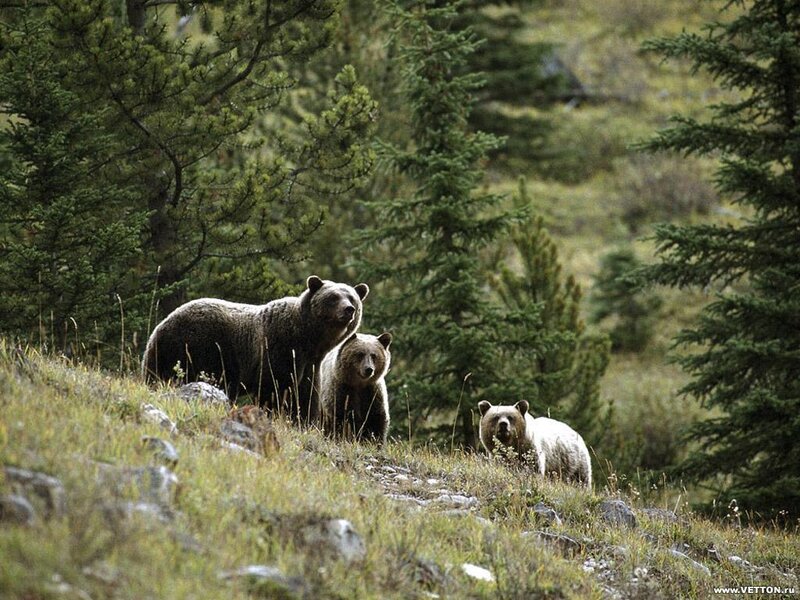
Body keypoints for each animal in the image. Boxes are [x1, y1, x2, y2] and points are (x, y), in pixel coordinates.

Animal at [142, 275, 369, 423]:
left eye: (352, 298)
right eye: (333, 297)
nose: (349, 310)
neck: (308, 339)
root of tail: (158, 328)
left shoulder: (310, 364)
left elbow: (306, 395)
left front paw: (303, 420)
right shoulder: (279, 346)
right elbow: (275, 386)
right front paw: (274, 414)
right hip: (200, 346)